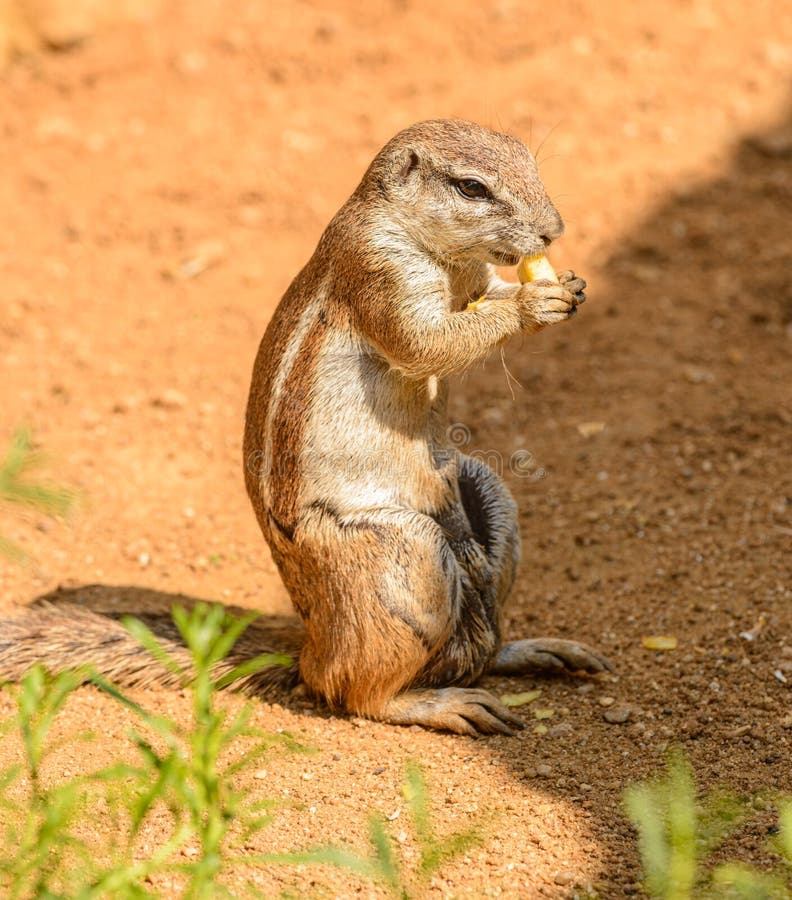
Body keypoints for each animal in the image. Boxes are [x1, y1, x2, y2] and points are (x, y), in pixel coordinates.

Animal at [0, 119, 611, 735]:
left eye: (528, 160)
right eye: (472, 188)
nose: (554, 231)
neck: (435, 249)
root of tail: (310, 640)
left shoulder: (476, 277)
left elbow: (486, 298)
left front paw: (569, 285)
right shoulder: (380, 271)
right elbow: (425, 341)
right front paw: (535, 303)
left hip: (487, 491)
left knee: (474, 647)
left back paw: (532, 649)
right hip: (399, 553)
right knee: (350, 688)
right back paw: (446, 704)